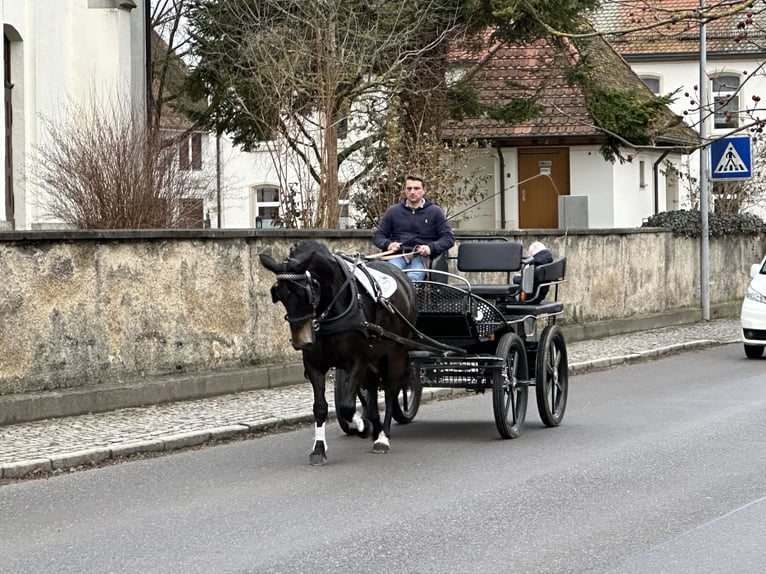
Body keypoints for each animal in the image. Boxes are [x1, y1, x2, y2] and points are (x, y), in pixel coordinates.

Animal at [258, 241, 416, 466]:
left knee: (391, 391)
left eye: (306, 292)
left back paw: (382, 437)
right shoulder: (314, 365)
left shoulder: (357, 362)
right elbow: (320, 408)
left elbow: (347, 406)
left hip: (396, 352)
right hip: (375, 359)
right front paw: (319, 448)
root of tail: (403, 277)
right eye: (278, 295)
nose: (301, 341)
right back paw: (375, 427)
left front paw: (359, 425)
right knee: (373, 388)